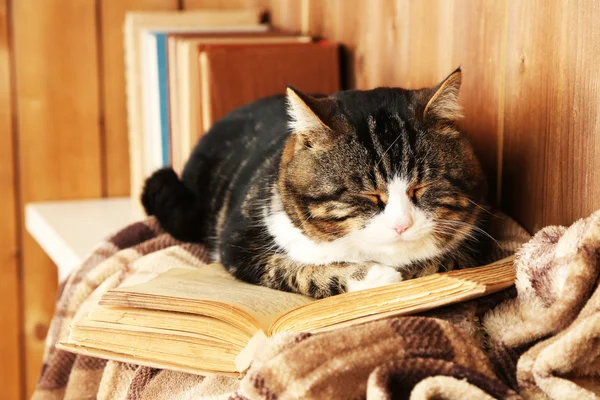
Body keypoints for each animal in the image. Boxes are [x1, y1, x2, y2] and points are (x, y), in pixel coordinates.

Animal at [142, 69, 492, 298]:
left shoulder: (473, 244)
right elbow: (290, 269)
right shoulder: (239, 243)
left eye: (420, 188)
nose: (401, 225)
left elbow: (439, 262)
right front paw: (372, 275)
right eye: (368, 195)